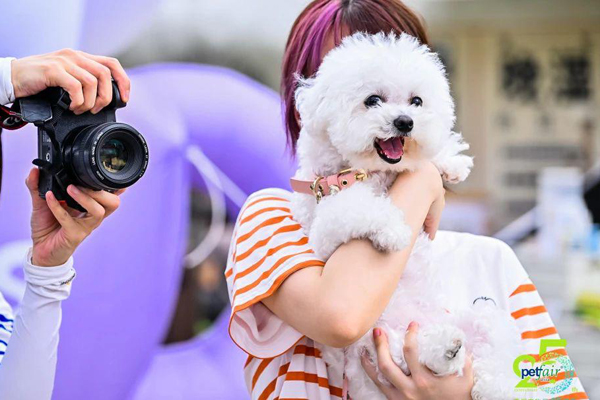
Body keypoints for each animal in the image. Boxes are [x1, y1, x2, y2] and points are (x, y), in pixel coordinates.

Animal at [290, 33, 520, 400]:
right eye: (372, 100)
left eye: (416, 102)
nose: (405, 122)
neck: (370, 172)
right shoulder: (325, 219)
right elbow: (356, 207)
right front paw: (394, 230)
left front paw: (451, 162)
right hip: (374, 341)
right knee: (409, 356)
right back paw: (444, 349)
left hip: (482, 319)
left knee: (490, 354)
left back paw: (486, 381)